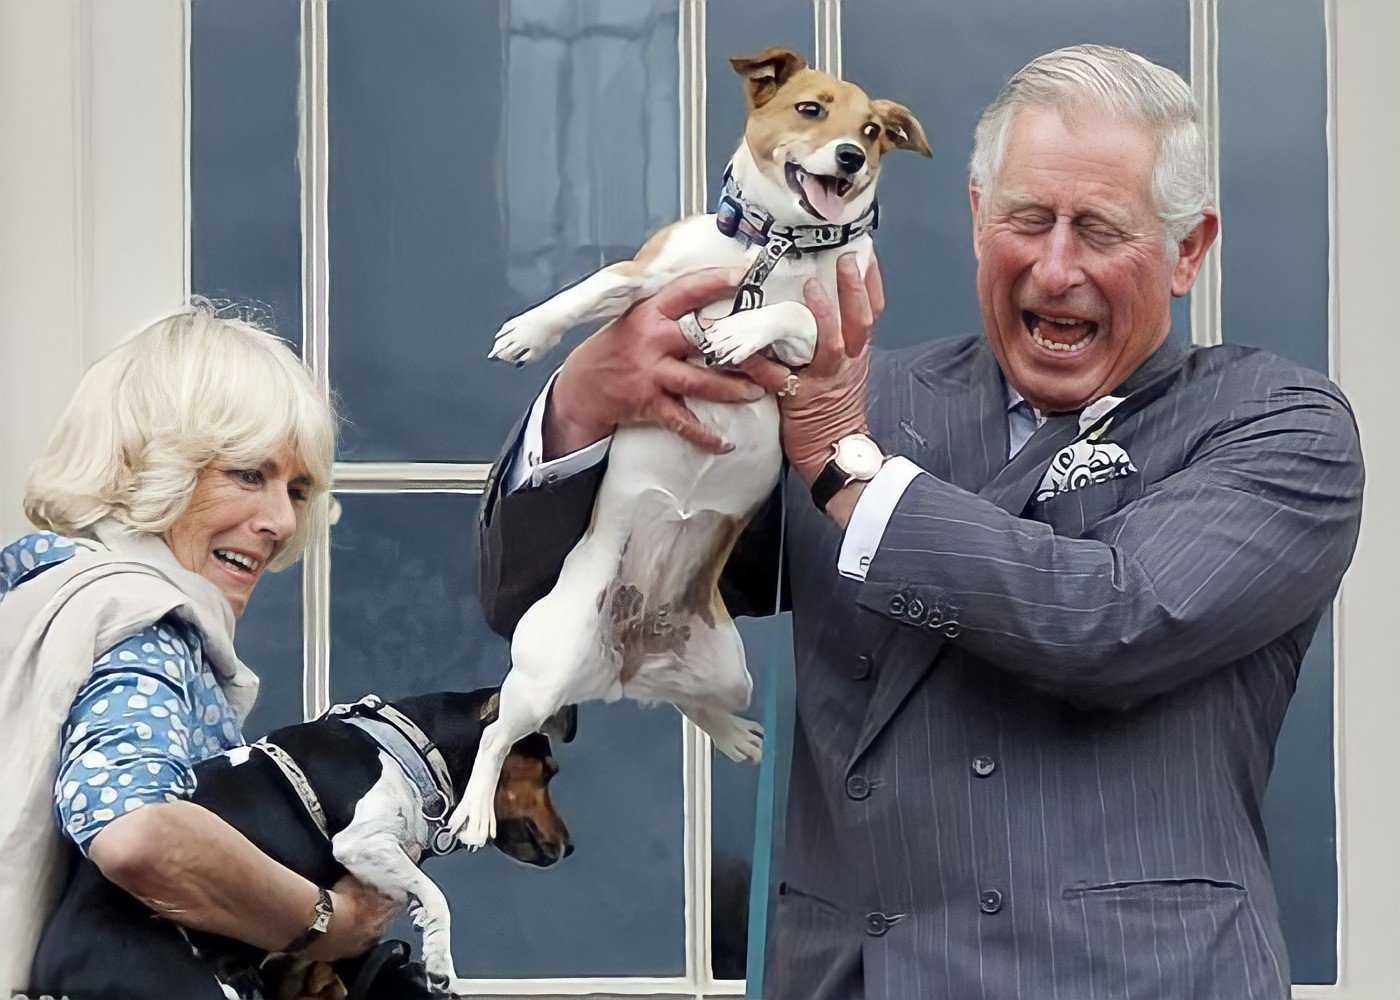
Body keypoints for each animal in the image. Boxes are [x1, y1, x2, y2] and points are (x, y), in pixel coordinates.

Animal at [30, 686, 574, 997]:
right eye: (548, 771)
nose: (571, 849)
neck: (414, 748)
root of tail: (48, 972)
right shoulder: (360, 843)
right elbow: (437, 896)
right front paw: (440, 964)